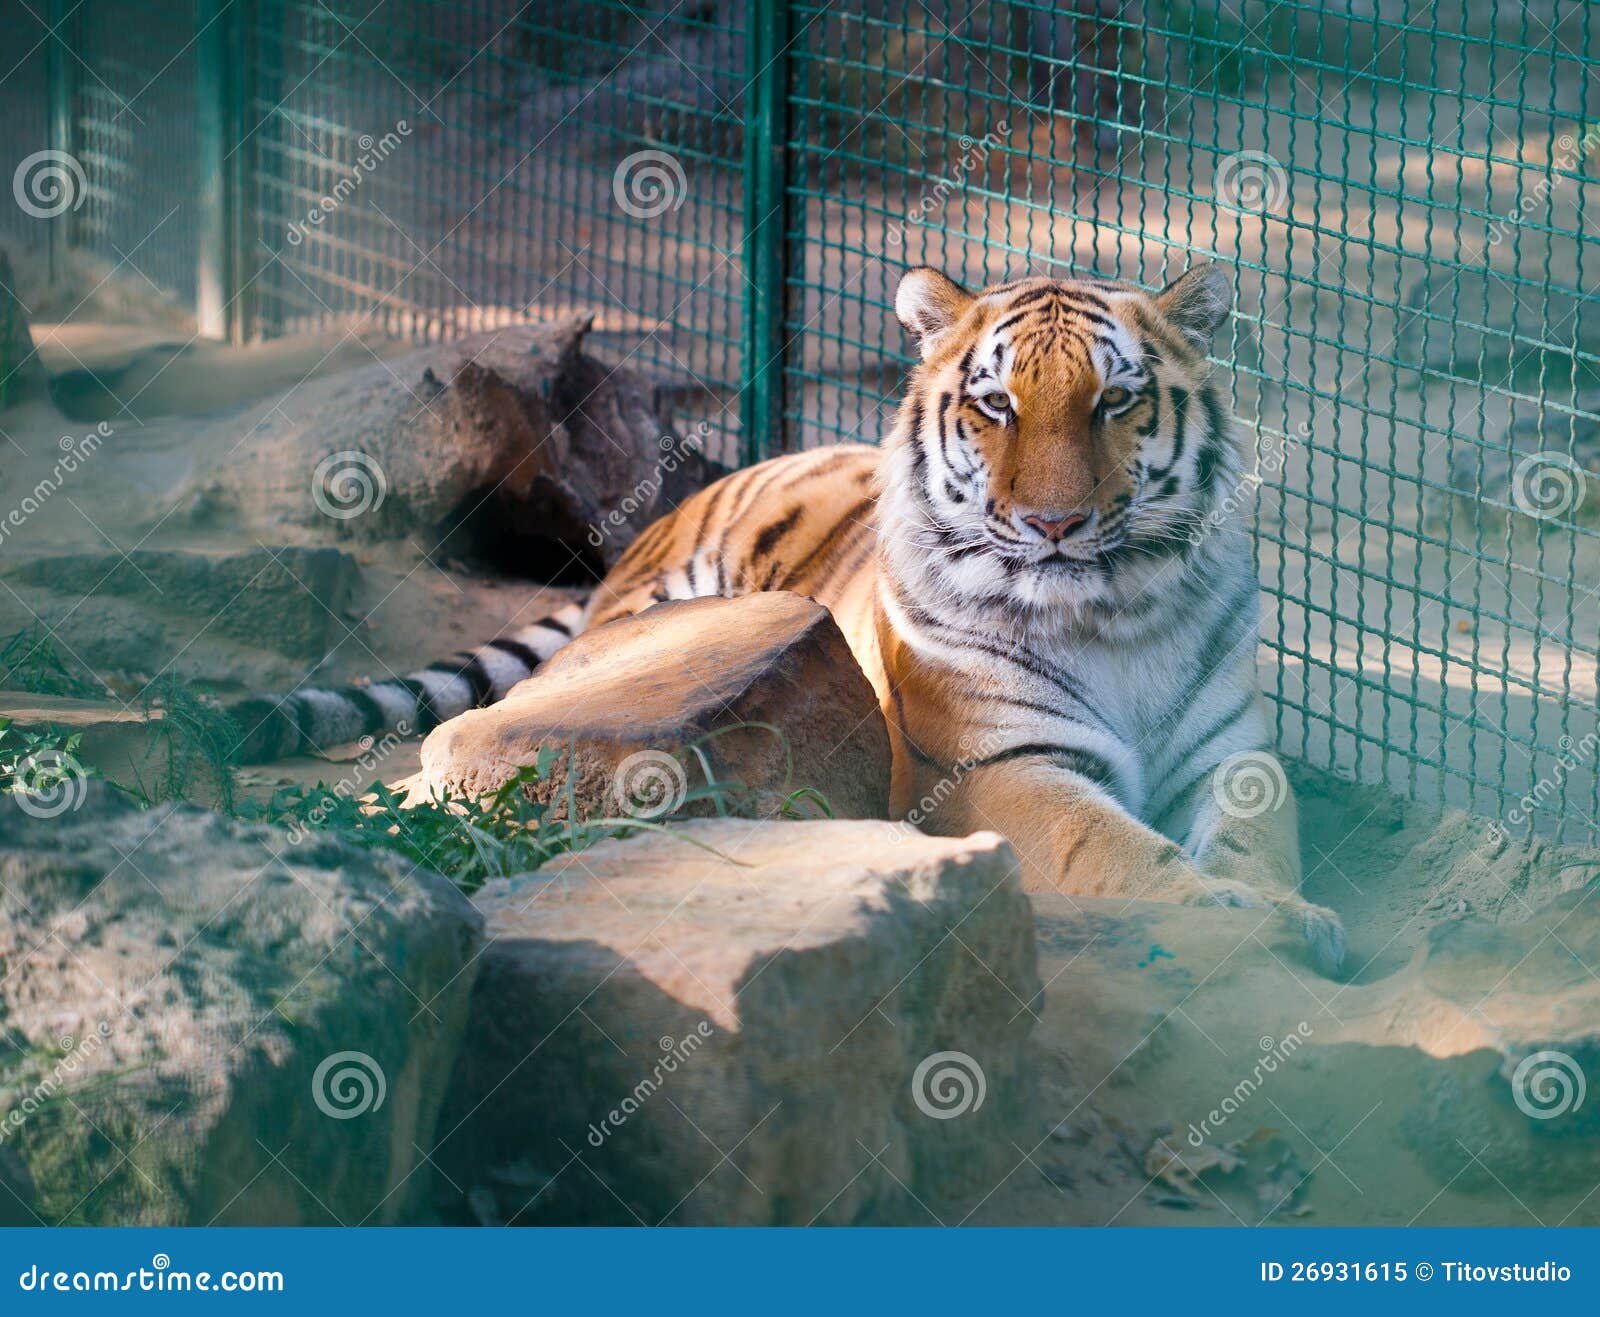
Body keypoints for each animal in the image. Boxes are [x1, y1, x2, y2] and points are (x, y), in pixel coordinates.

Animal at [230, 262, 1345, 974]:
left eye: (1115, 402)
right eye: (997, 406)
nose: (1054, 523)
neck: (1112, 618)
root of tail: (660, 517)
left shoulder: (1234, 754)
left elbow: (1260, 838)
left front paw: (1290, 908)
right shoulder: (997, 767)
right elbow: (1115, 850)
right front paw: (1237, 915)